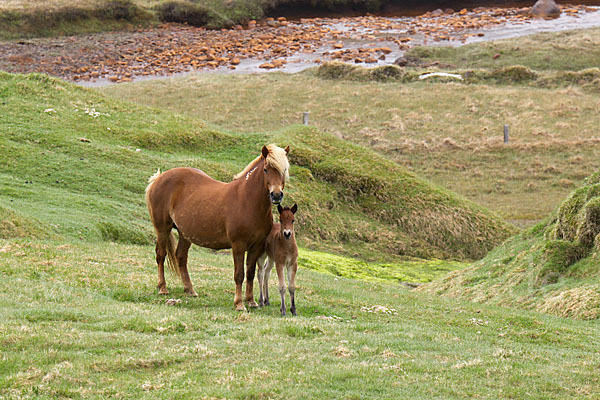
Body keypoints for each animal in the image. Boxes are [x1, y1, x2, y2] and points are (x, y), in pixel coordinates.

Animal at [143, 145, 288, 310]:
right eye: (266, 169)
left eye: (284, 170)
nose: (276, 195)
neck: (248, 201)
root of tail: (158, 178)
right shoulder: (238, 245)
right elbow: (239, 274)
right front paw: (239, 304)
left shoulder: (256, 247)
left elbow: (250, 274)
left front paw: (251, 301)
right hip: (163, 229)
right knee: (161, 255)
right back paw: (162, 288)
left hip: (185, 234)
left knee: (181, 256)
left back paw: (190, 290)